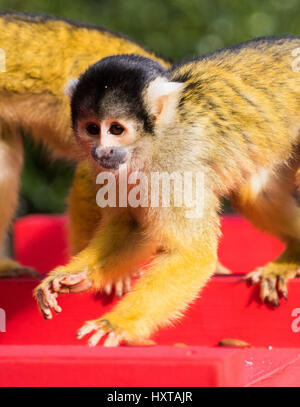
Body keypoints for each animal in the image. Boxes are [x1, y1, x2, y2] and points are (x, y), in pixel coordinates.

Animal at [36, 37, 300, 348]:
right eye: (92, 128)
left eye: (116, 129)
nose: (102, 152)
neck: (152, 143)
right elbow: (134, 227)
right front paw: (73, 276)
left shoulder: (175, 168)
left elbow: (190, 253)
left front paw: (116, 324)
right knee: (253, 192)